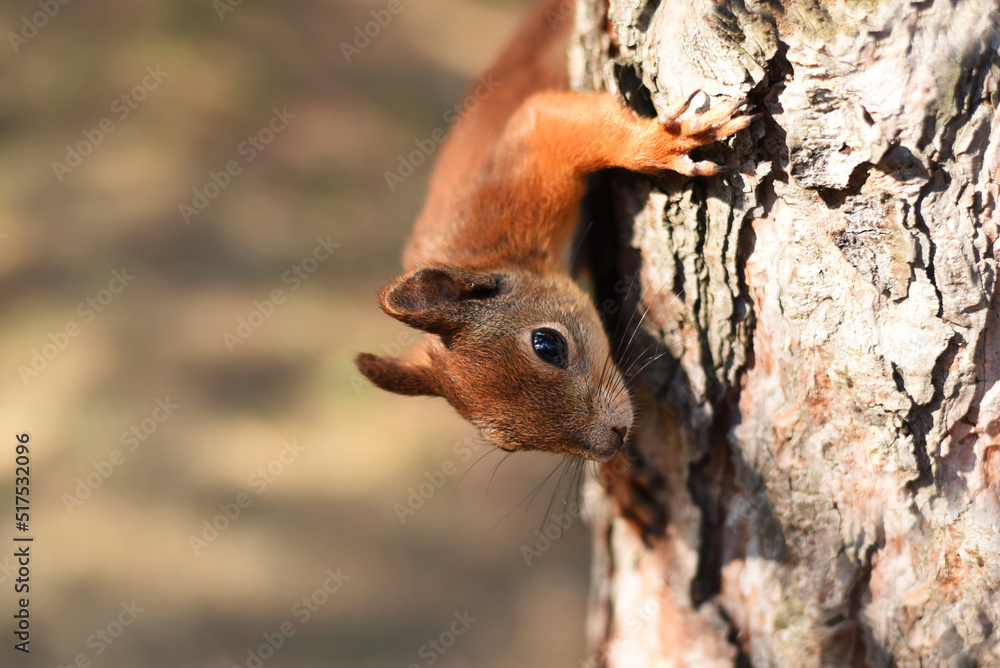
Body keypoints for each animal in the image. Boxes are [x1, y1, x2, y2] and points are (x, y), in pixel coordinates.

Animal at [356, 0, 752, 462]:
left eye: (548, 345)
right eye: (507, 445)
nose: (613, 441)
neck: (489, 252)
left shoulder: (522, 166)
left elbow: (564, 123)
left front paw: (662, 143)